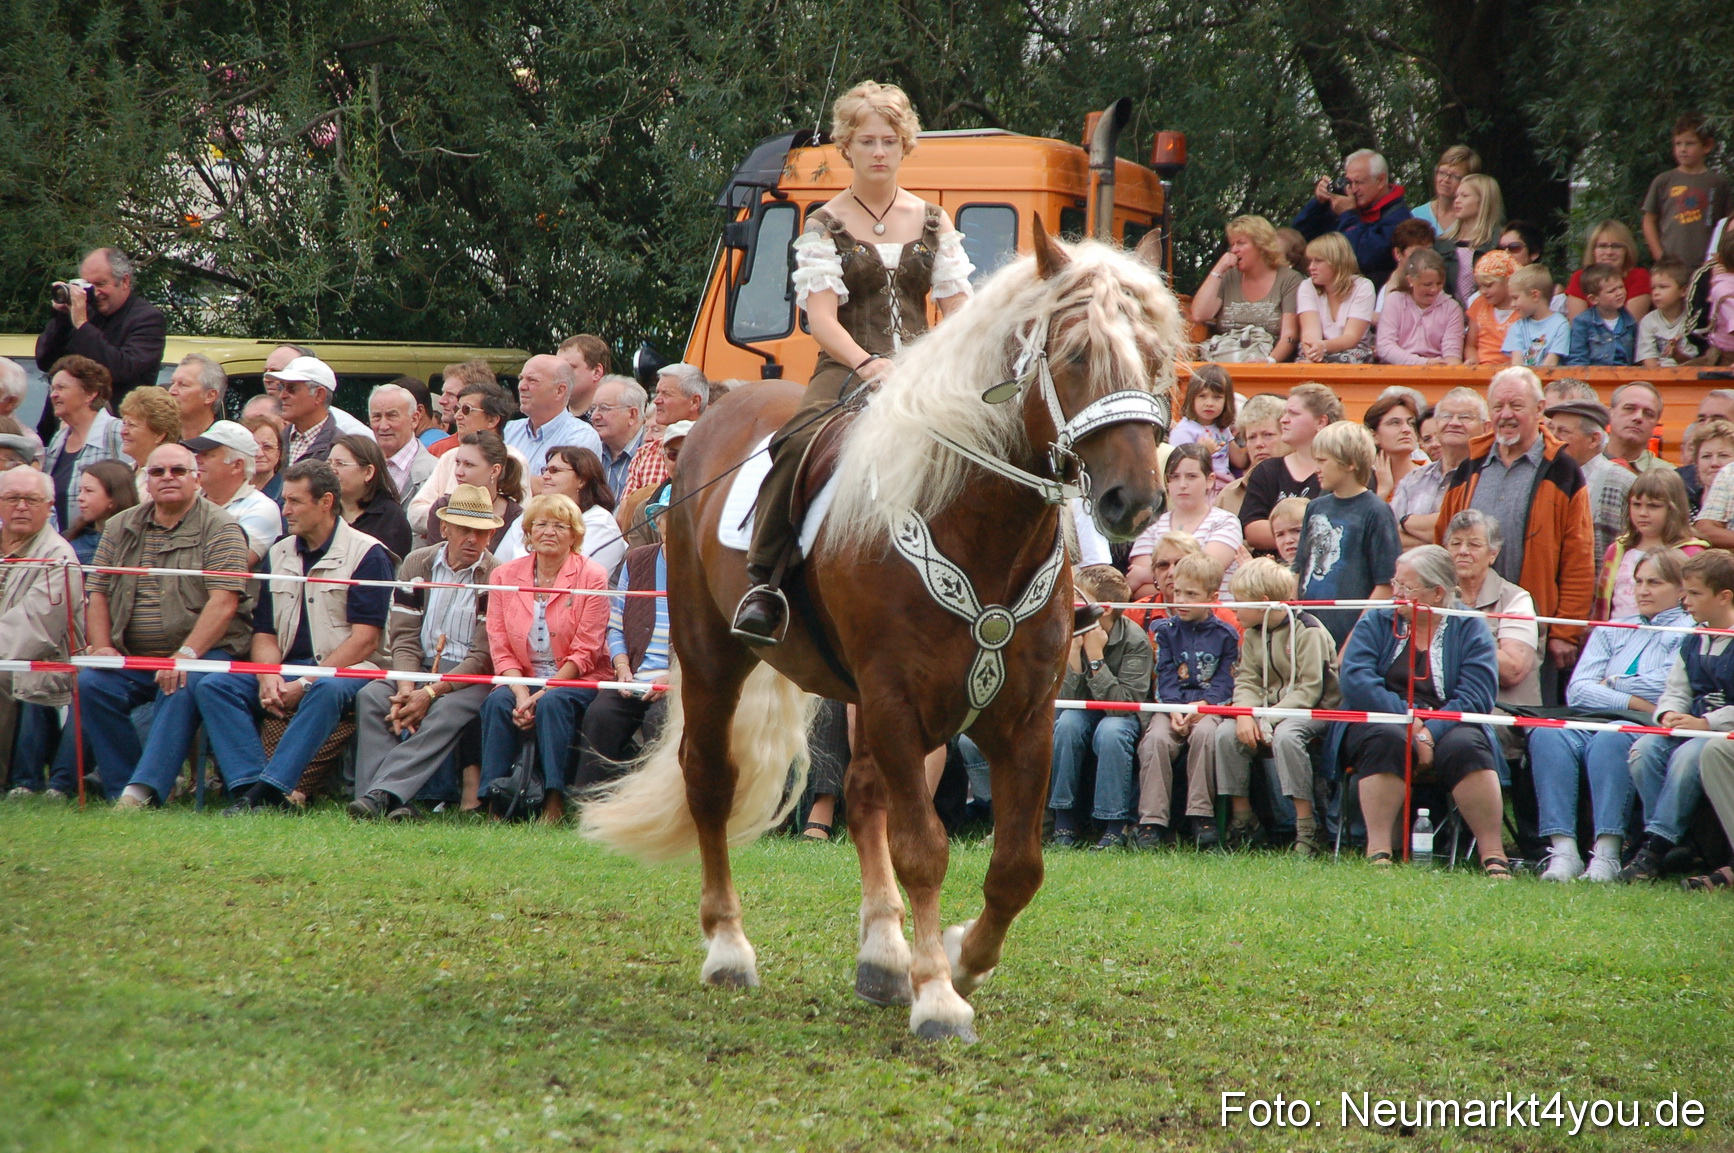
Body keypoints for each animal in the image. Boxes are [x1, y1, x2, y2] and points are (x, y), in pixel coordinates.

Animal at [581, 219, 1184, 1042]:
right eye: (1075, 355)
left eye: (1156, 358)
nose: (1135, 500)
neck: (976, 525)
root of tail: (719, 412)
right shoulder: (899, 701)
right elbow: (923, 848)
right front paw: (938, 997)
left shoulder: (1022, 717)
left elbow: (1018, 866)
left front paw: (959, 959)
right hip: (712, 660)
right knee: (710, 782)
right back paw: (730, 948)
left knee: (862, 792)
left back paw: (882, 955)